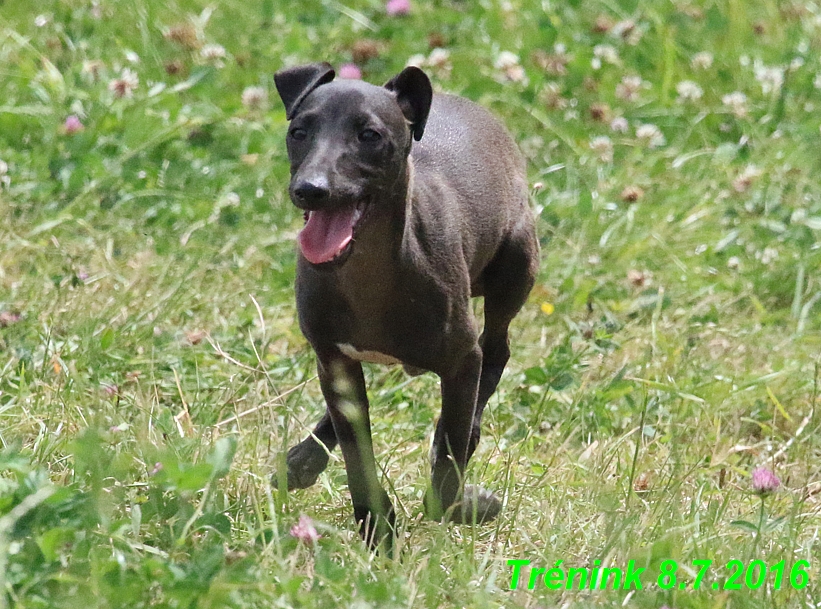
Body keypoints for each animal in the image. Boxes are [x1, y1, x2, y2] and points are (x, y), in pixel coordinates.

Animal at [272, 63, 540, 552]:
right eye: (298, 132)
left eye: (369, 135)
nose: (309, 190)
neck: (368, 273)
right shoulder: (334, 361)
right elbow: (357, 454)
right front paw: (377, 527)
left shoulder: (461, 361)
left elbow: (449, 463)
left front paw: (463, 504)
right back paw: (303, 458)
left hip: (515, 267)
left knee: (496, 352)